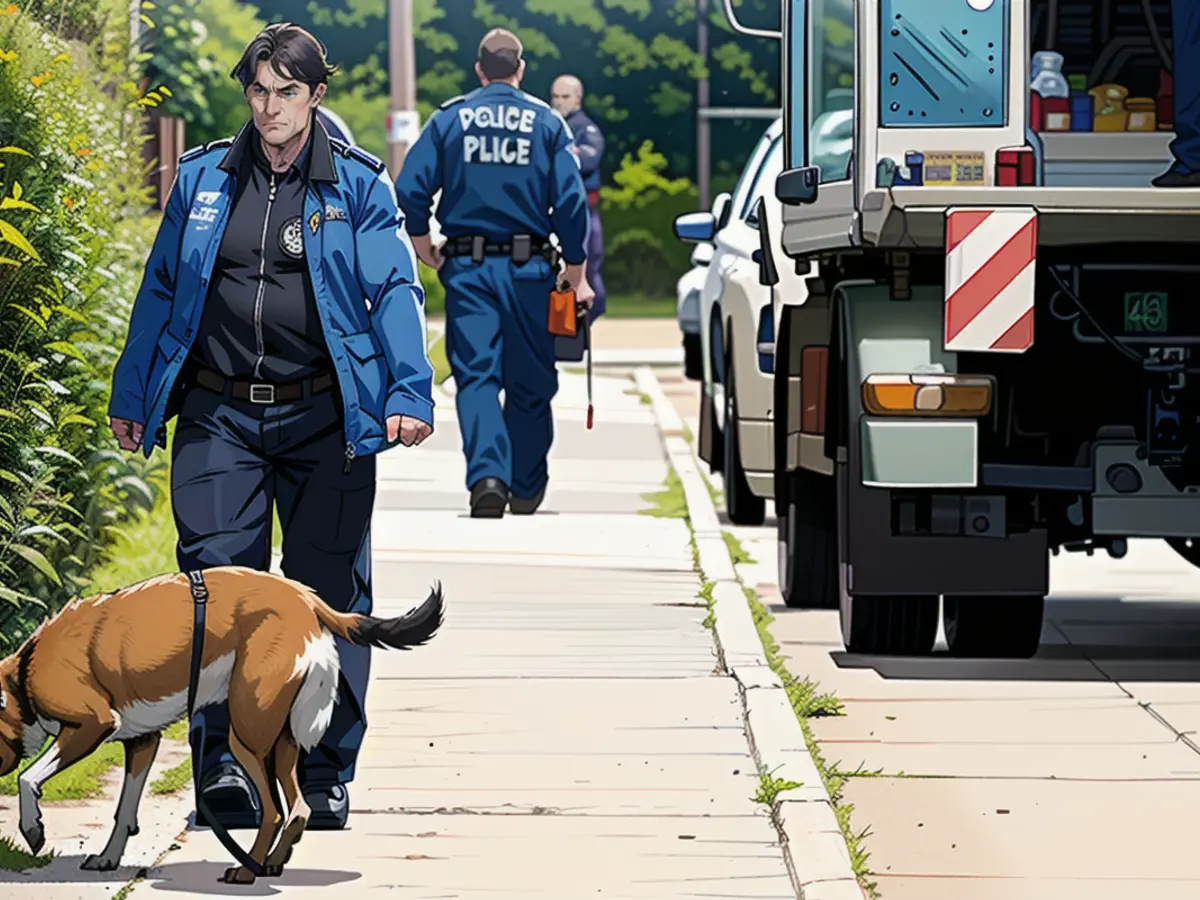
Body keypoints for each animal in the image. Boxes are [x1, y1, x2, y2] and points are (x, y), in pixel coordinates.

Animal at [0, 566, 446, 883]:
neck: (24, 674)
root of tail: (306, 598)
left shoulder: (92, 726)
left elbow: (28, 777)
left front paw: (33, 829)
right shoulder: (142, 742)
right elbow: (124, 811)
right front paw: (108, 858)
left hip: (246, 736)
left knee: (274, 811)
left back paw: (246, 871)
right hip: (280, 741)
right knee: (297, 809)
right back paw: (270, 863)